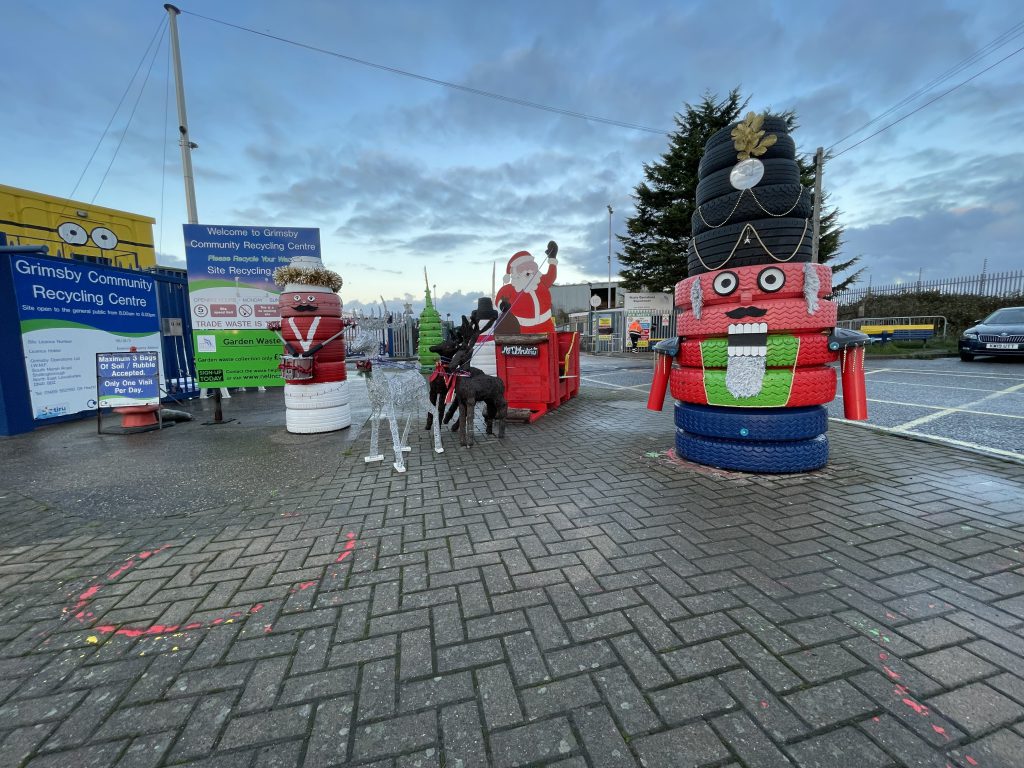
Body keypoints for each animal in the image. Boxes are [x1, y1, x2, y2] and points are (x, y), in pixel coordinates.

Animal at [350, 321, 442, 473]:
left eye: (365, 337)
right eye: (357, 336)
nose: (353, 347)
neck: (381, 383)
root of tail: (418, 373)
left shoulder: (388, 404)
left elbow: (393, 427)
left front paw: (399, 463)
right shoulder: (376, 406)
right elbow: (375, 428)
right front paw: (373, 456)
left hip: (422, 397)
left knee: (434, 410)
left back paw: (439, 446)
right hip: (412, 400)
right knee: (412, 414)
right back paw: (405, 445)